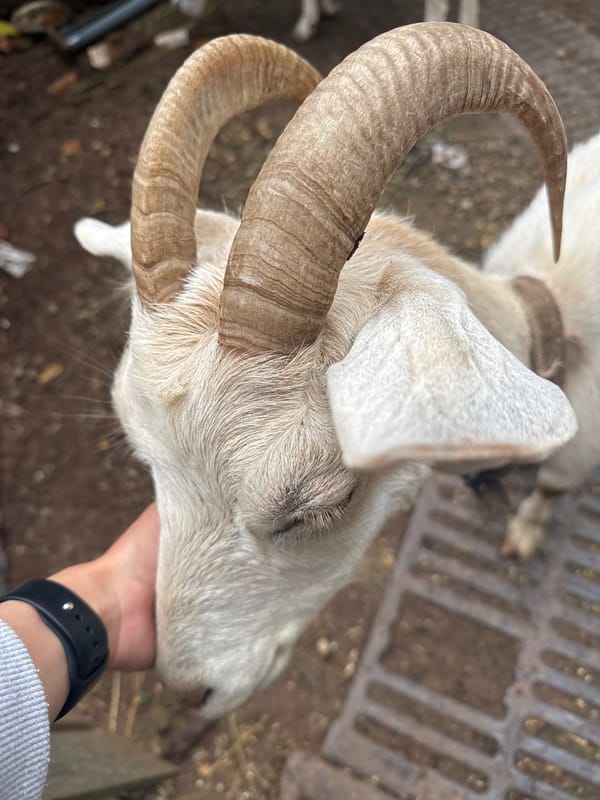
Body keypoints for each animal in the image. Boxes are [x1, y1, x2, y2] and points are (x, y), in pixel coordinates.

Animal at [75, 25, 589, 718]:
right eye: (142, 454)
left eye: (324, 501)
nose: (187, 691)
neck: (553, 318)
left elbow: (552, 490)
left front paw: (526, 531)